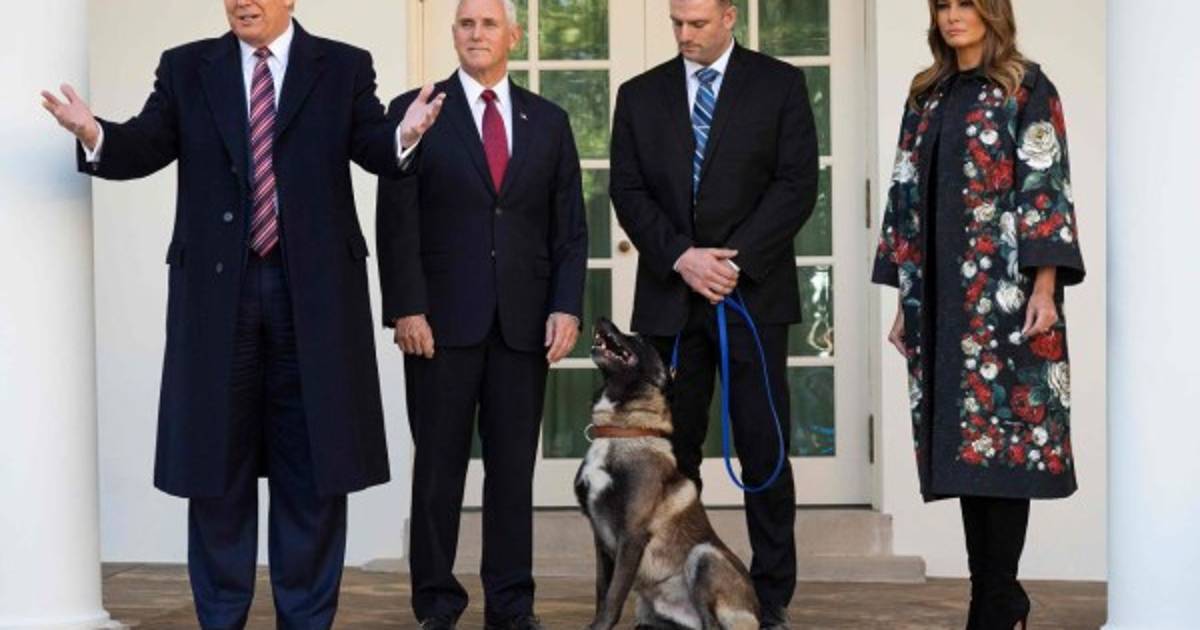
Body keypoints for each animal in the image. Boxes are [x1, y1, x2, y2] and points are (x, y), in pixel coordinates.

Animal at [575, 317, 759, 630]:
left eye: (639, 339)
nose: (601, 319)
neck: (622, 430)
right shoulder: (600, 537)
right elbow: (602, 589)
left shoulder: (632, 536)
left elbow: (613, 596)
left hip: (703, 555)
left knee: (712, 624)